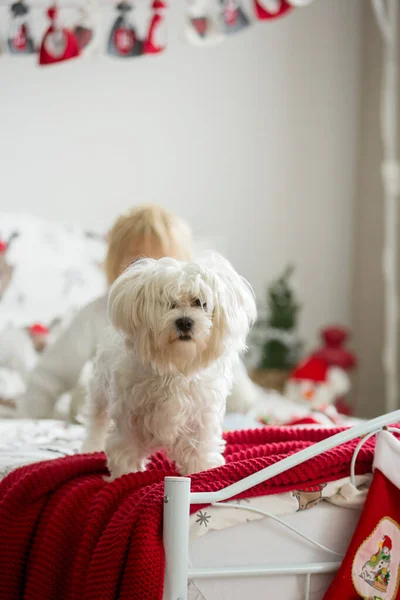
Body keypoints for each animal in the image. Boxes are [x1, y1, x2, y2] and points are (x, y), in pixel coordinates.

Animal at [81, 253, 256, 478]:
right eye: (168, 303)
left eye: (200, 302)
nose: (185, 322)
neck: (175, 367)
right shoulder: (128, 419)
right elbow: (125, 450)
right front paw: (125, 476)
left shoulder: (200, 418)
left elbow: (198, 452)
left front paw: (202, 472)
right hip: (99, 392)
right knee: (97, 422)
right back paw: (90, 448)